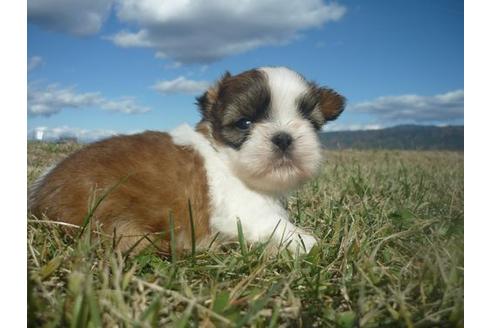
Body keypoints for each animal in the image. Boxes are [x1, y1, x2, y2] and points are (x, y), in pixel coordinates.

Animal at [28, 66, 344, 255]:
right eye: (244, 123)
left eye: (310, 122)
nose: (283, 137)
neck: (225, 158)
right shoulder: (245, 213)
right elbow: (278, 227)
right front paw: (307, 242)